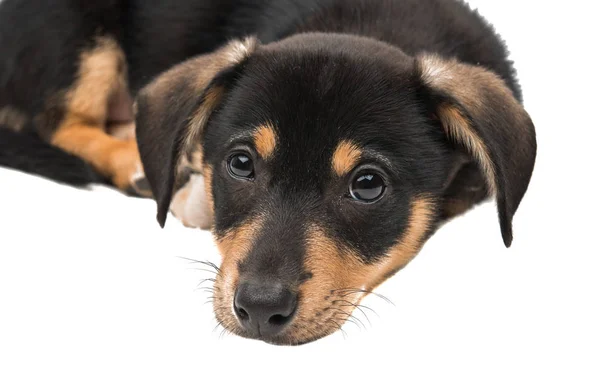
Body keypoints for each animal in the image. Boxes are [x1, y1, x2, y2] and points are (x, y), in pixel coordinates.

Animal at [0, 0, 536, 346]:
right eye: (241, 163)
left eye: (367, 185)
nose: (259, 309)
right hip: (76, 36)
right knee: (59, 120)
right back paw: (135, 163)